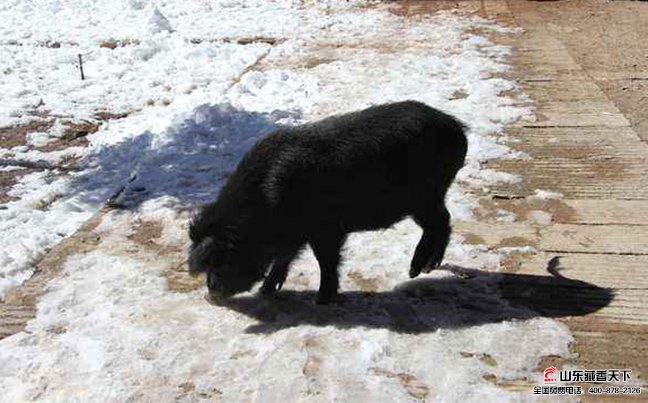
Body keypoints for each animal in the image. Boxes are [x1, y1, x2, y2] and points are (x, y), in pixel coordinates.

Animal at [187, 100, 466, 304]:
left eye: (221, 256)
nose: (210, 294)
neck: (264, 203)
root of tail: (457, 127)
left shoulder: (325, 229)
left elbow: (326, 260)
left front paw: (322, 300)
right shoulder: (295, 235)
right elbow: (284, 259)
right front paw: (266, 291)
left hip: (424, 196)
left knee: (441, 223)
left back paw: (416, 270)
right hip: (428, 198)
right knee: (444, 221)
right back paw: (424, 269)